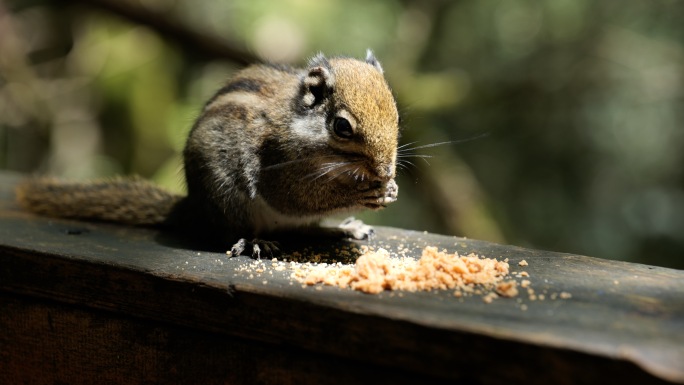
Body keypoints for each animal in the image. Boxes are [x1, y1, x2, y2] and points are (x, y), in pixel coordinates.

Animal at [14, 49, 400, 256]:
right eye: (342, 127)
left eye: (396, 113)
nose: (385, 171)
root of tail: (193, 207)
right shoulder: (278, 163)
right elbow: (297, 197)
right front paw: (365, 193)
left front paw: (390, 189)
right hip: (227, 197)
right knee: (234, 231)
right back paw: (255, 242)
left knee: (305, 231)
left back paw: (343, 231)